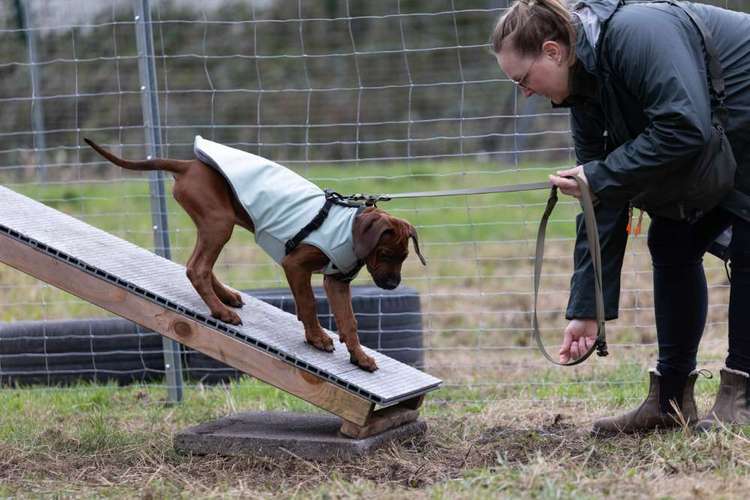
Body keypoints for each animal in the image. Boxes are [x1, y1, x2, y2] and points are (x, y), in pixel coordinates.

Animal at [85, 137, 426, 372]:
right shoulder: (296, 265)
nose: (393, 286)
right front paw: (316, 338)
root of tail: (188, 164)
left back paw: (226, 297)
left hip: (214, 223)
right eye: (384, 253)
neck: (349, 231)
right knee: (196, 268)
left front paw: (359, 357)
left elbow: (349, 322)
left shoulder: (337, 282)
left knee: (198, 264)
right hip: (218, 222)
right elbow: (308, 304)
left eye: (404, 257)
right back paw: (222, 312)